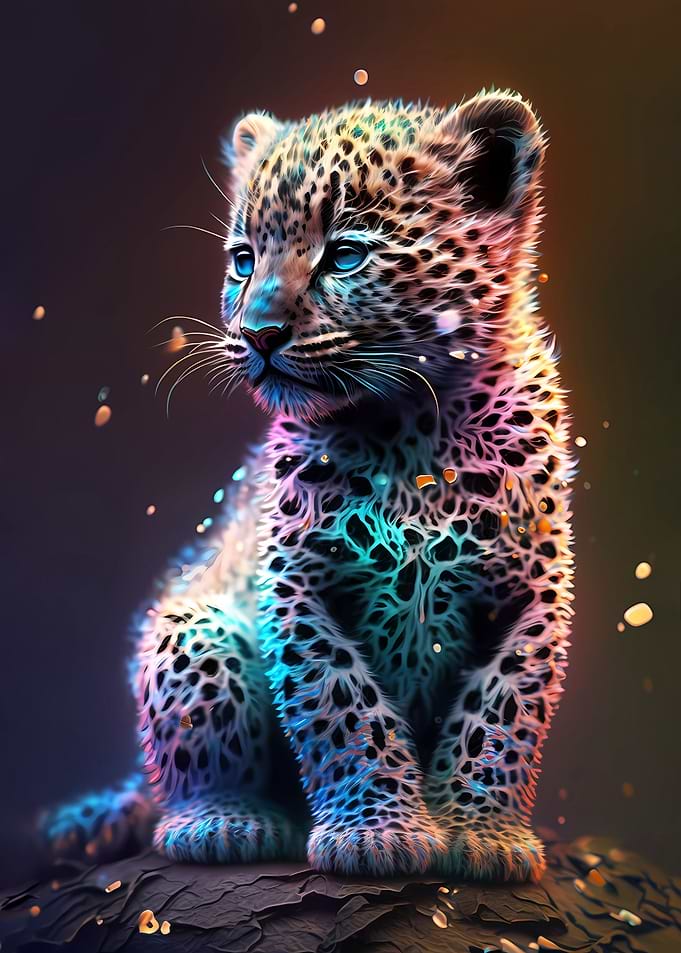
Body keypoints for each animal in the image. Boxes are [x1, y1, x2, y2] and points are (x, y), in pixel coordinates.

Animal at [41, 90, 575, 882]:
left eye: (346, 254)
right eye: (243, 260)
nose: (258, 331)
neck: (410, 428)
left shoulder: (531, 593)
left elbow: (503, 706)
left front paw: (481, 833)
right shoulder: (297, 586)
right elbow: (341, 704)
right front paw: (377, 834)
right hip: (191, 630)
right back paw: (224, 823)